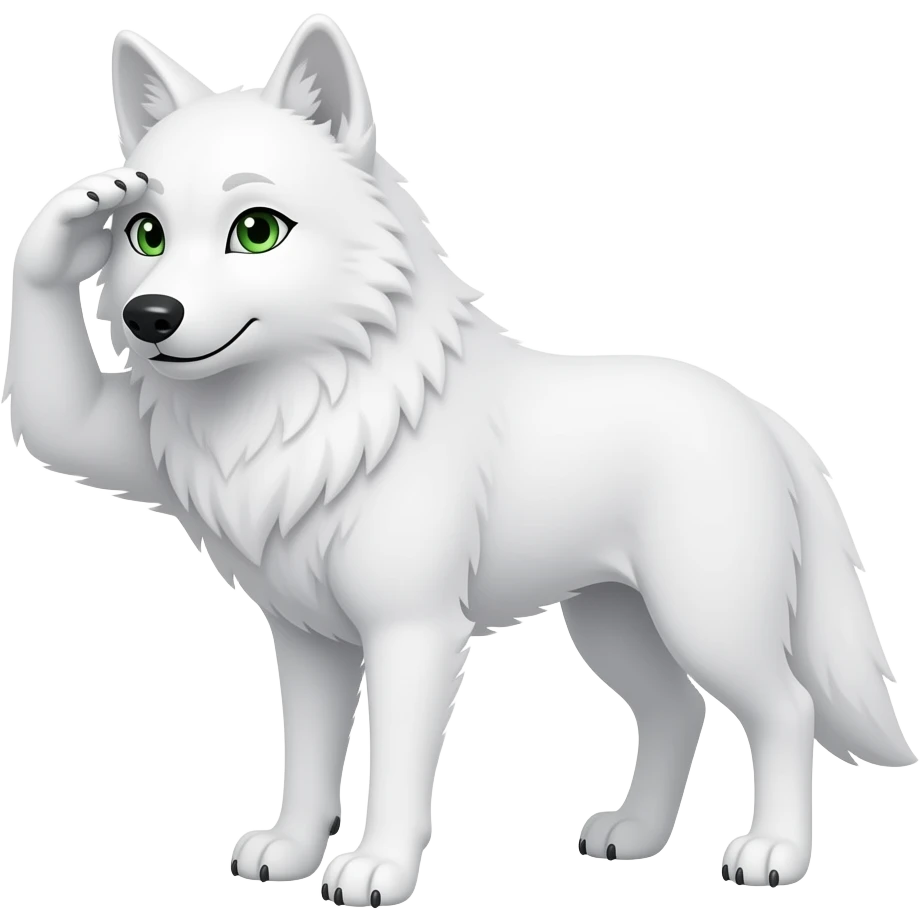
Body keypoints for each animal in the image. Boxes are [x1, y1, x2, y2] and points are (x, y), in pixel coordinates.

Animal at [3, 12, 913, 904]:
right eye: (144, 233)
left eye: (256, 232)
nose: (150, 316)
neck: (297, 407)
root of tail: (764, 417)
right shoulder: (307, 639)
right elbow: (307, 759)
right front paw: (291, 853)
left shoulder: (412, 631)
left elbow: (396, 770)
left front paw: (377, 871)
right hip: (613, 624)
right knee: (677, 712)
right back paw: (632, 836)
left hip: (707, 620)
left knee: (786, 709)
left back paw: (774, 854)